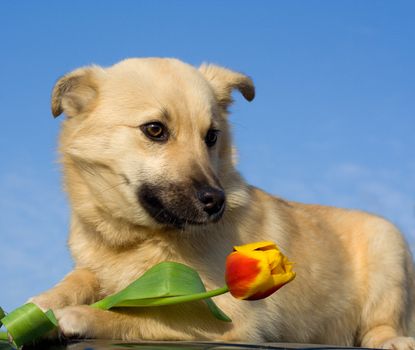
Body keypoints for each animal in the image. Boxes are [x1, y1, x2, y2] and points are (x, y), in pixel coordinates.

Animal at [30, 57, 415, 348]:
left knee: (380, 328)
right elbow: (76, 281)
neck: (135, 240)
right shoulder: (96, 269)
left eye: (211, 136)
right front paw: (37, 310)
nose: (216, 202)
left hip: (387, 247)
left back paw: (393, 340)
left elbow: (143, 315)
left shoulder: (228, 316)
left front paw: (79, 316)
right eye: (154, 130)